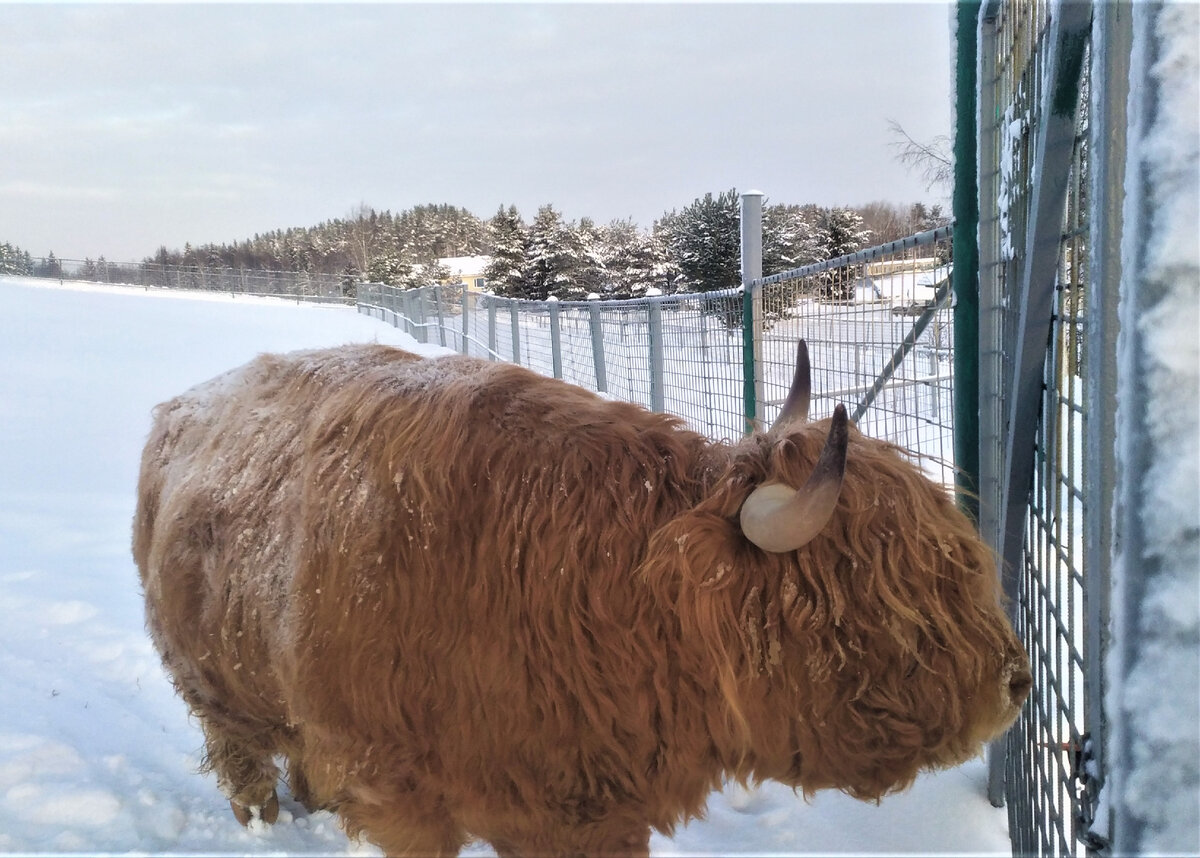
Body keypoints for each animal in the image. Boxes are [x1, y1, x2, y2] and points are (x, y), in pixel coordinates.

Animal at [131, 343, 1032, 858]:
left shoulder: (587, 811)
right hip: (214, 693)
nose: (1015, 685)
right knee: (243, 763)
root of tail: (178, 411)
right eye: (887, 599)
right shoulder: (403, 800)